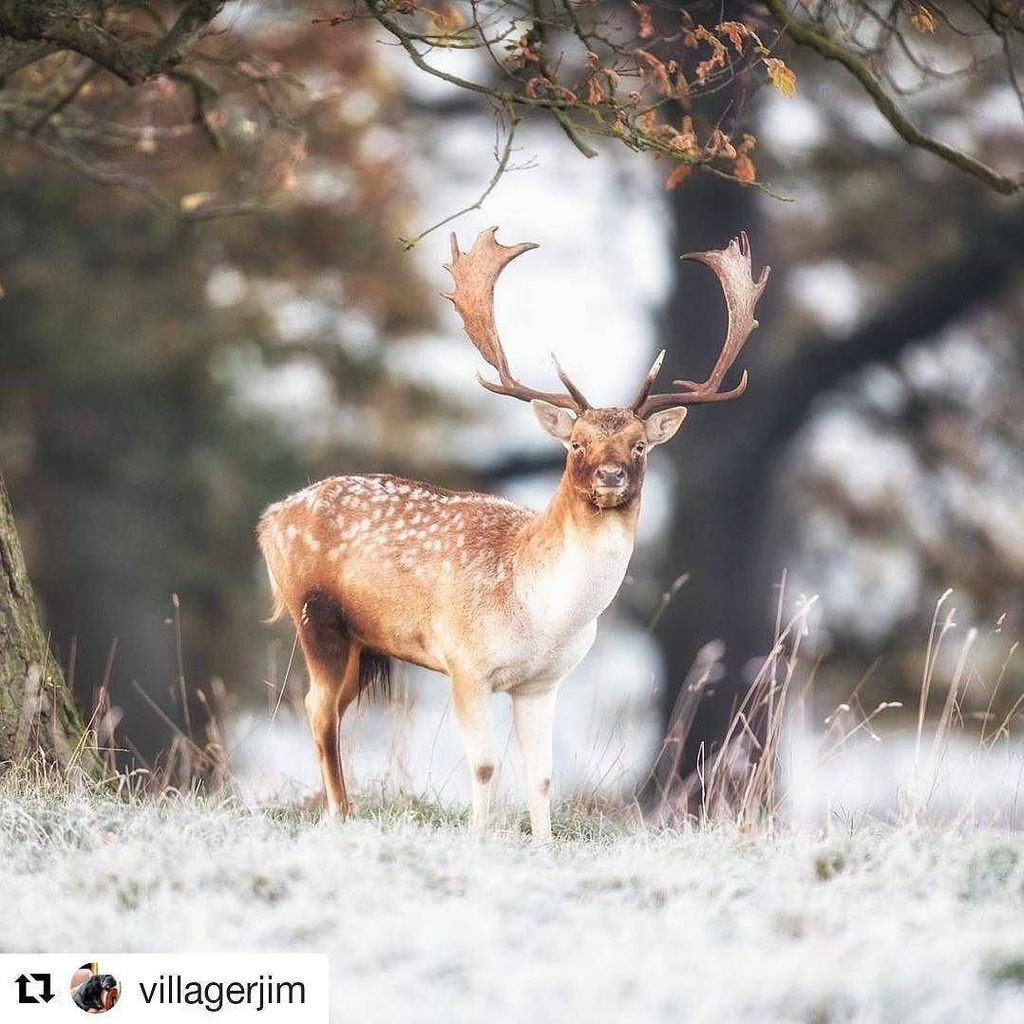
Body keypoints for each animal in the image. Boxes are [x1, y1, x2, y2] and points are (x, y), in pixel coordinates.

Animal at [257, 227, 769, 841]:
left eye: (641, 445)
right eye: (577, 443)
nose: (611, 476)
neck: (539, 611)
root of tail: (270, 520)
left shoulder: (543, 681)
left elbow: (542, 775)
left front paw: (543, 843)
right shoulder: (464, 661)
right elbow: (483, 764)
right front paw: (479, 838)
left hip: (365, 645)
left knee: (331, 709)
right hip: (316, 617)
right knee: (316, 708)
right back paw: (339, 812)